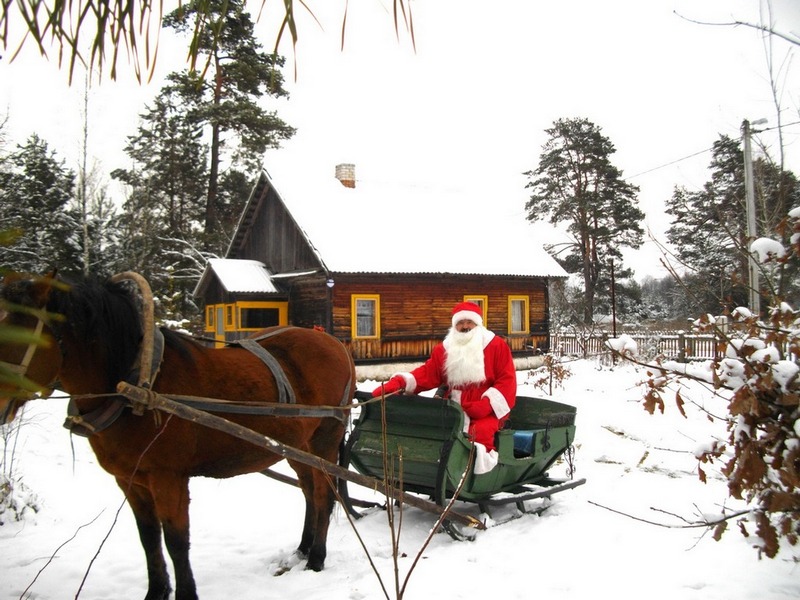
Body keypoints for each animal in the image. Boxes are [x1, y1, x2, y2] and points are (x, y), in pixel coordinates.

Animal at [0, 272, 356, 600]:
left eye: (18, 332)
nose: (1, 405)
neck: (136, 383)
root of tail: (335, 344)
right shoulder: (130, 479)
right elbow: (148, 538)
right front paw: (156, 591)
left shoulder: (167, 477)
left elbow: (176, 540)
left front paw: (185, 593)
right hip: (297, 446)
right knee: (309, 491)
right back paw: (303, 548)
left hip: (324, 440)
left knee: (323, 496)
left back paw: (316, 558)